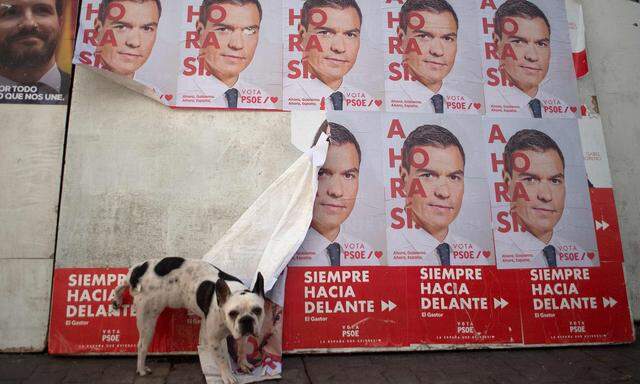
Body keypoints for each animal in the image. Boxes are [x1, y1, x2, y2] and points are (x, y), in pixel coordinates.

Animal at [112, 256, 264, 382]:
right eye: (232, 313)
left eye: (258, 310)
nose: (246, 319)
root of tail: (140, 272)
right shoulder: (214, 340)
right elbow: (222, 360)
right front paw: (227, 376)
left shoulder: (244, 333)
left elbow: (242, 348)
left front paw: (243, 364)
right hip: (147, 319)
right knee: (142, 345)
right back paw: (142, 369)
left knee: (122, 282)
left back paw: (116, 299)